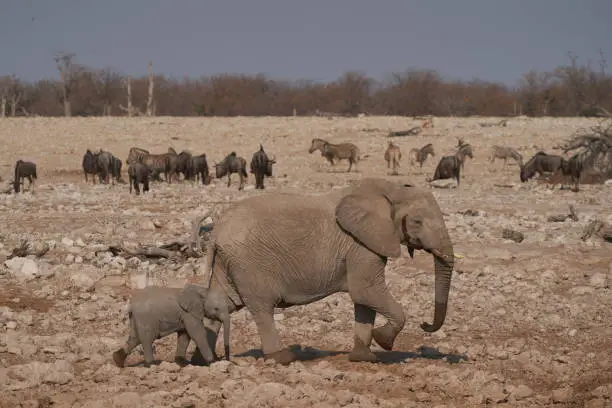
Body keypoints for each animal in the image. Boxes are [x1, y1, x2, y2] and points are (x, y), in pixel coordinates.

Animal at [196, 180, 454, 364]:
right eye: (417, 222)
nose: (425, 325)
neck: (391, 189)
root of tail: (217, 230)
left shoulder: (364, 244)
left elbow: (364, 300)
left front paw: (364, 358)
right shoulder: (360, 244)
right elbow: (365, 291)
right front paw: (384, 341)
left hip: (227, 262)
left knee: (221, 306)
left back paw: (205, 360)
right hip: (249, 263)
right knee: (262, 308)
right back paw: (282, 358)